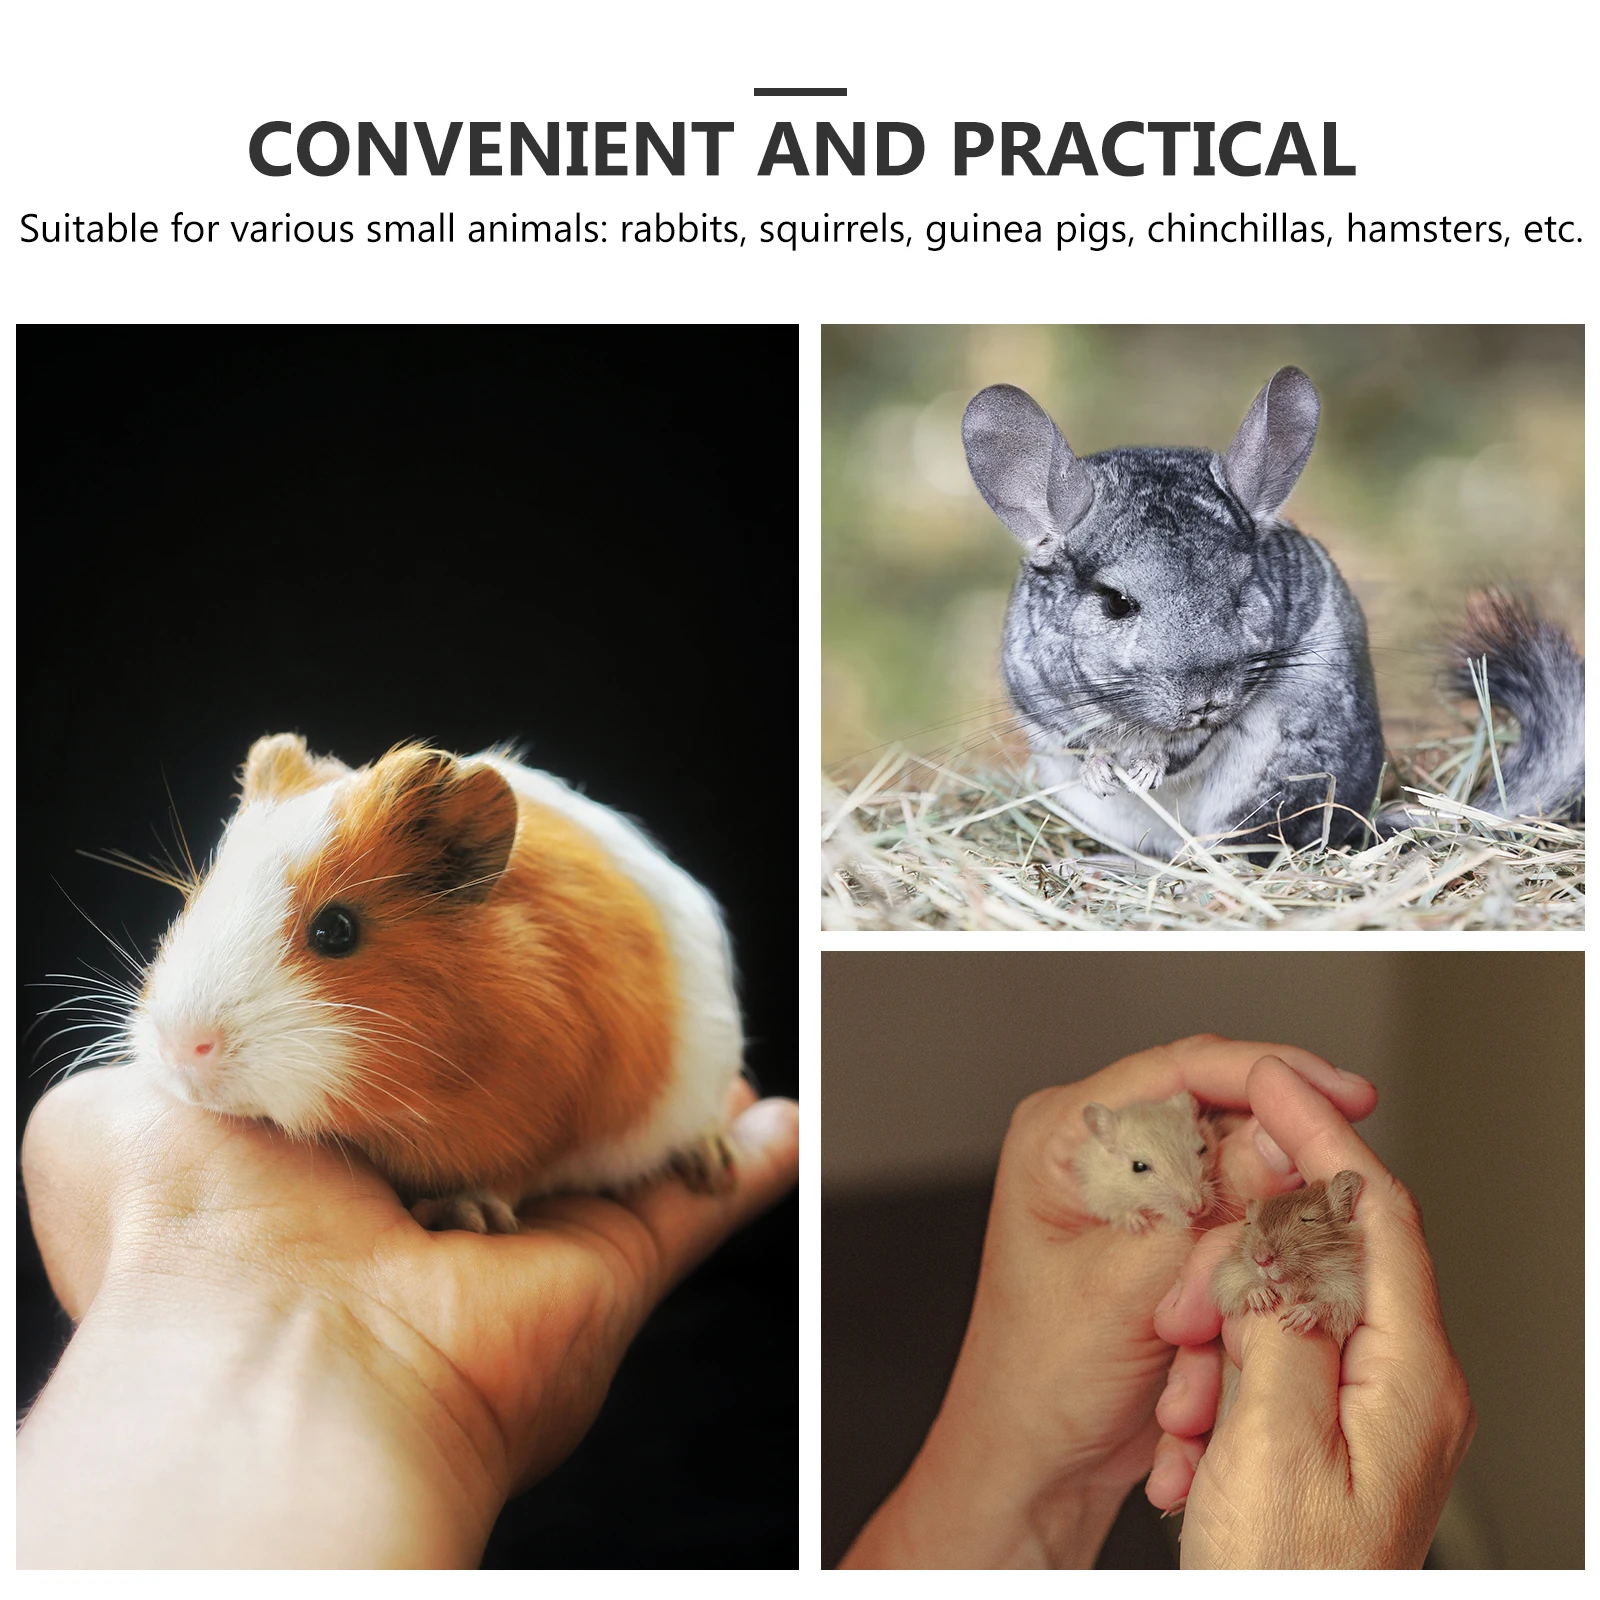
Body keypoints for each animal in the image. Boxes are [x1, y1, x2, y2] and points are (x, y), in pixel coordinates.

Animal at [962, 369, 1585, 858]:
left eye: (1241, 591)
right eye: (1116, 602)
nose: (1206, 699)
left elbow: (1181, 749)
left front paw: (1144, 767)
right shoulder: (1039, 701)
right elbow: (1079, 740)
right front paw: (1102, 769)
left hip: (1275, 784)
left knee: (1226, 852)